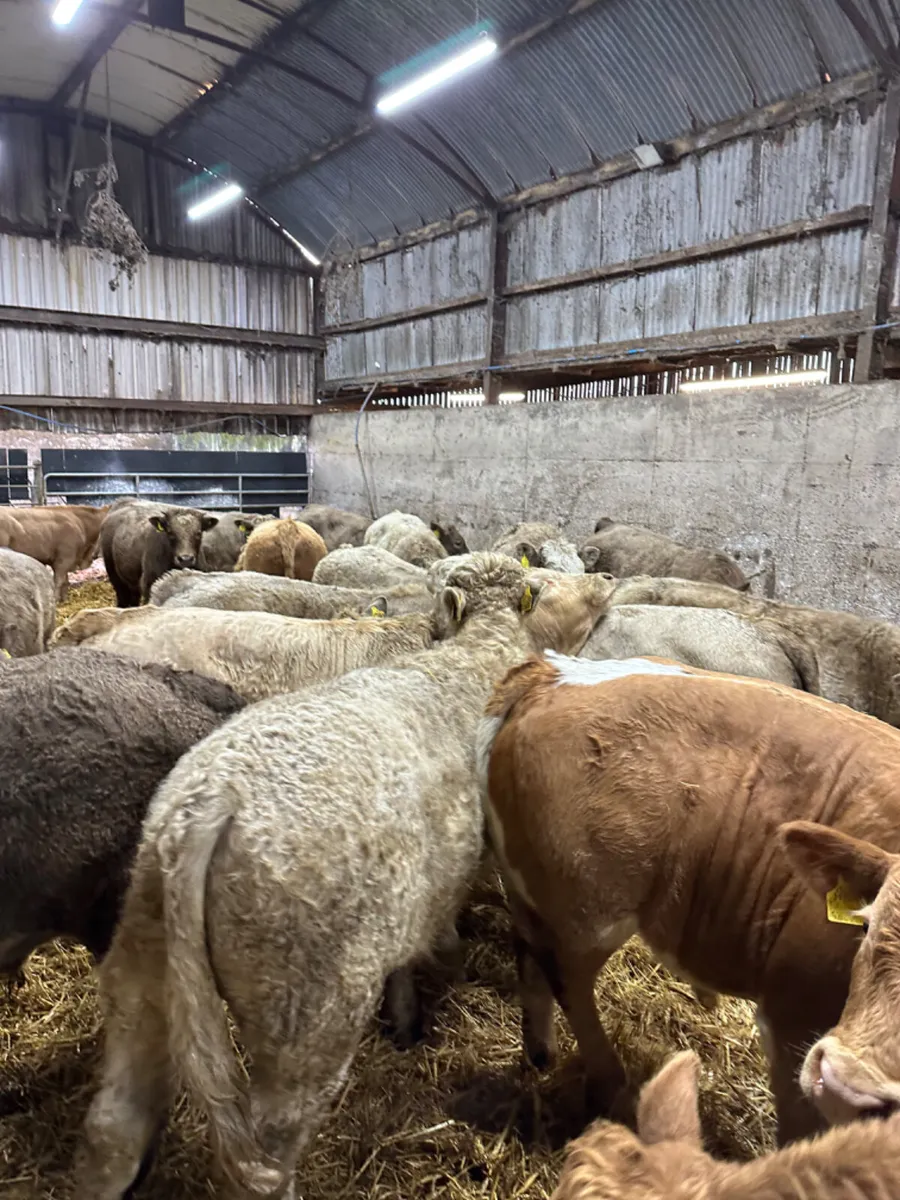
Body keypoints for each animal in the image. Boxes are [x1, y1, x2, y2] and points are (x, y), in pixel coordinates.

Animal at [478, 654, 900, 1143]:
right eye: (864, 925)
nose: (846, 1086)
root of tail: (553, 670)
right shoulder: (791, 1012)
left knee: (529, 952)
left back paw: (540, 1051)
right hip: (589, 911)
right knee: (570, 981)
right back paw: (615, 1091)